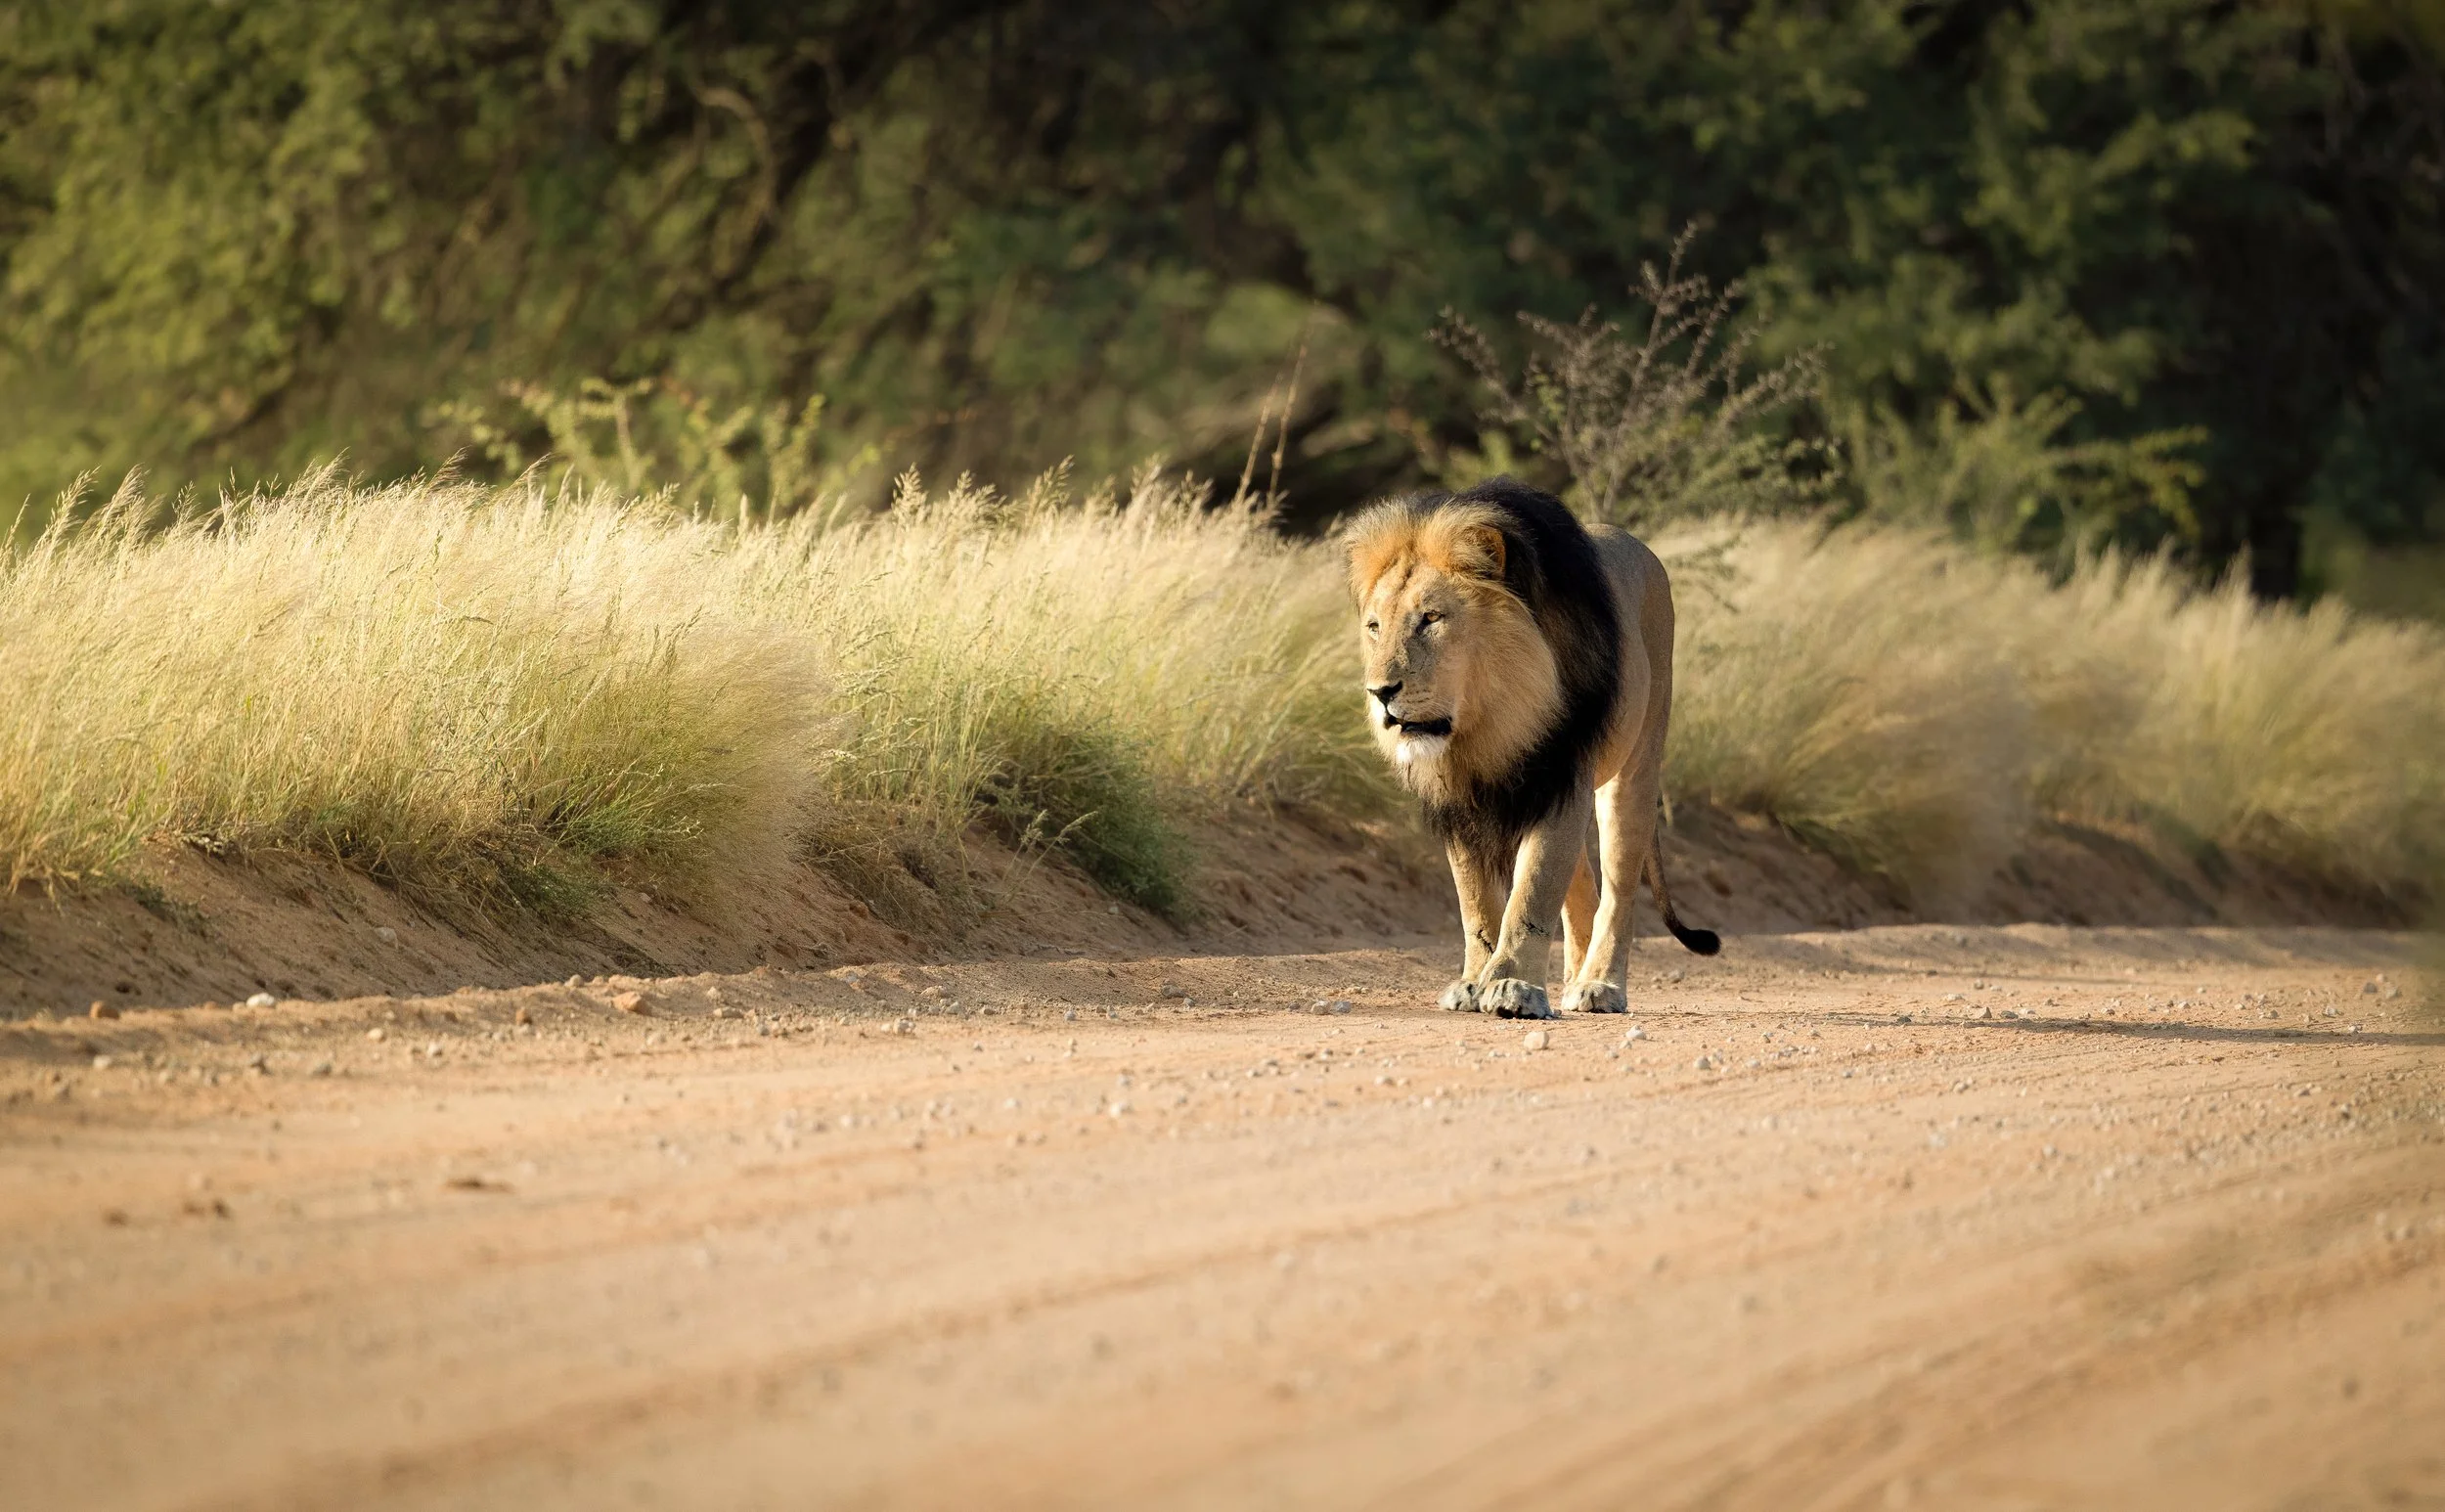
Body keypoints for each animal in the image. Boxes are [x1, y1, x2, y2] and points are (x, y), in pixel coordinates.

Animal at [1346, 476, 1719, 1019]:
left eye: (1431, 618)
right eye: (1375, 627)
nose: (1379, 693)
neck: (1489, 722)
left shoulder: (1563, 774)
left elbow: (1531, 894)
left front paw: (1512, 987)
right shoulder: (1463, 802)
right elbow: (1477, 904)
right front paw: (1473, 982)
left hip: (1633, 769)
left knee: (1618, 892)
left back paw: (1600, 985)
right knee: (1582, 886)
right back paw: (1571, 982)